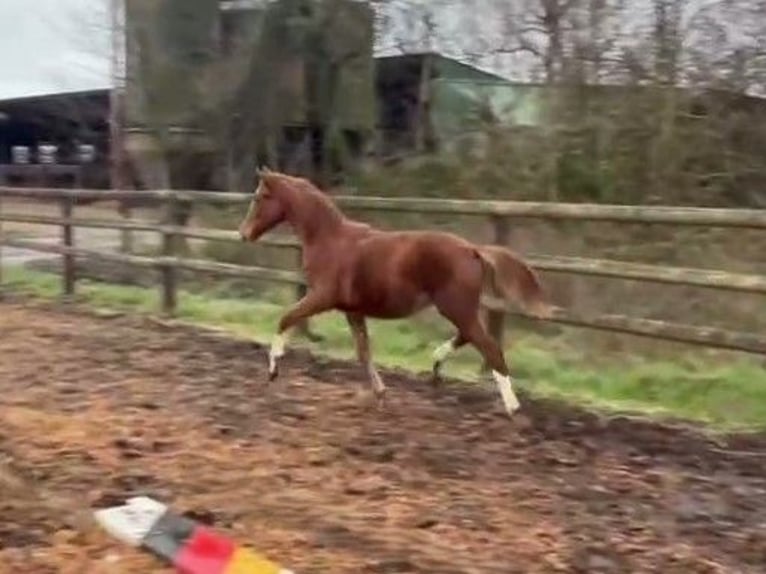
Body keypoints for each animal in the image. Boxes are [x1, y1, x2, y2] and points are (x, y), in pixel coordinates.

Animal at [240, 169, 552, 416]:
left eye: (259, 197)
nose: (244, 234)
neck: (329, 239)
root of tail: (472, 249)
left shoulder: (322, 297)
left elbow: (286, 318)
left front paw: (273, 370)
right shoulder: (353, 311)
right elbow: (363, 352)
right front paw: (380, 393)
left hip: (455, 307)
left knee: (489, 347)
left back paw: (512, 407)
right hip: (460, 309)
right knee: (470, 338)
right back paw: (436, 365)